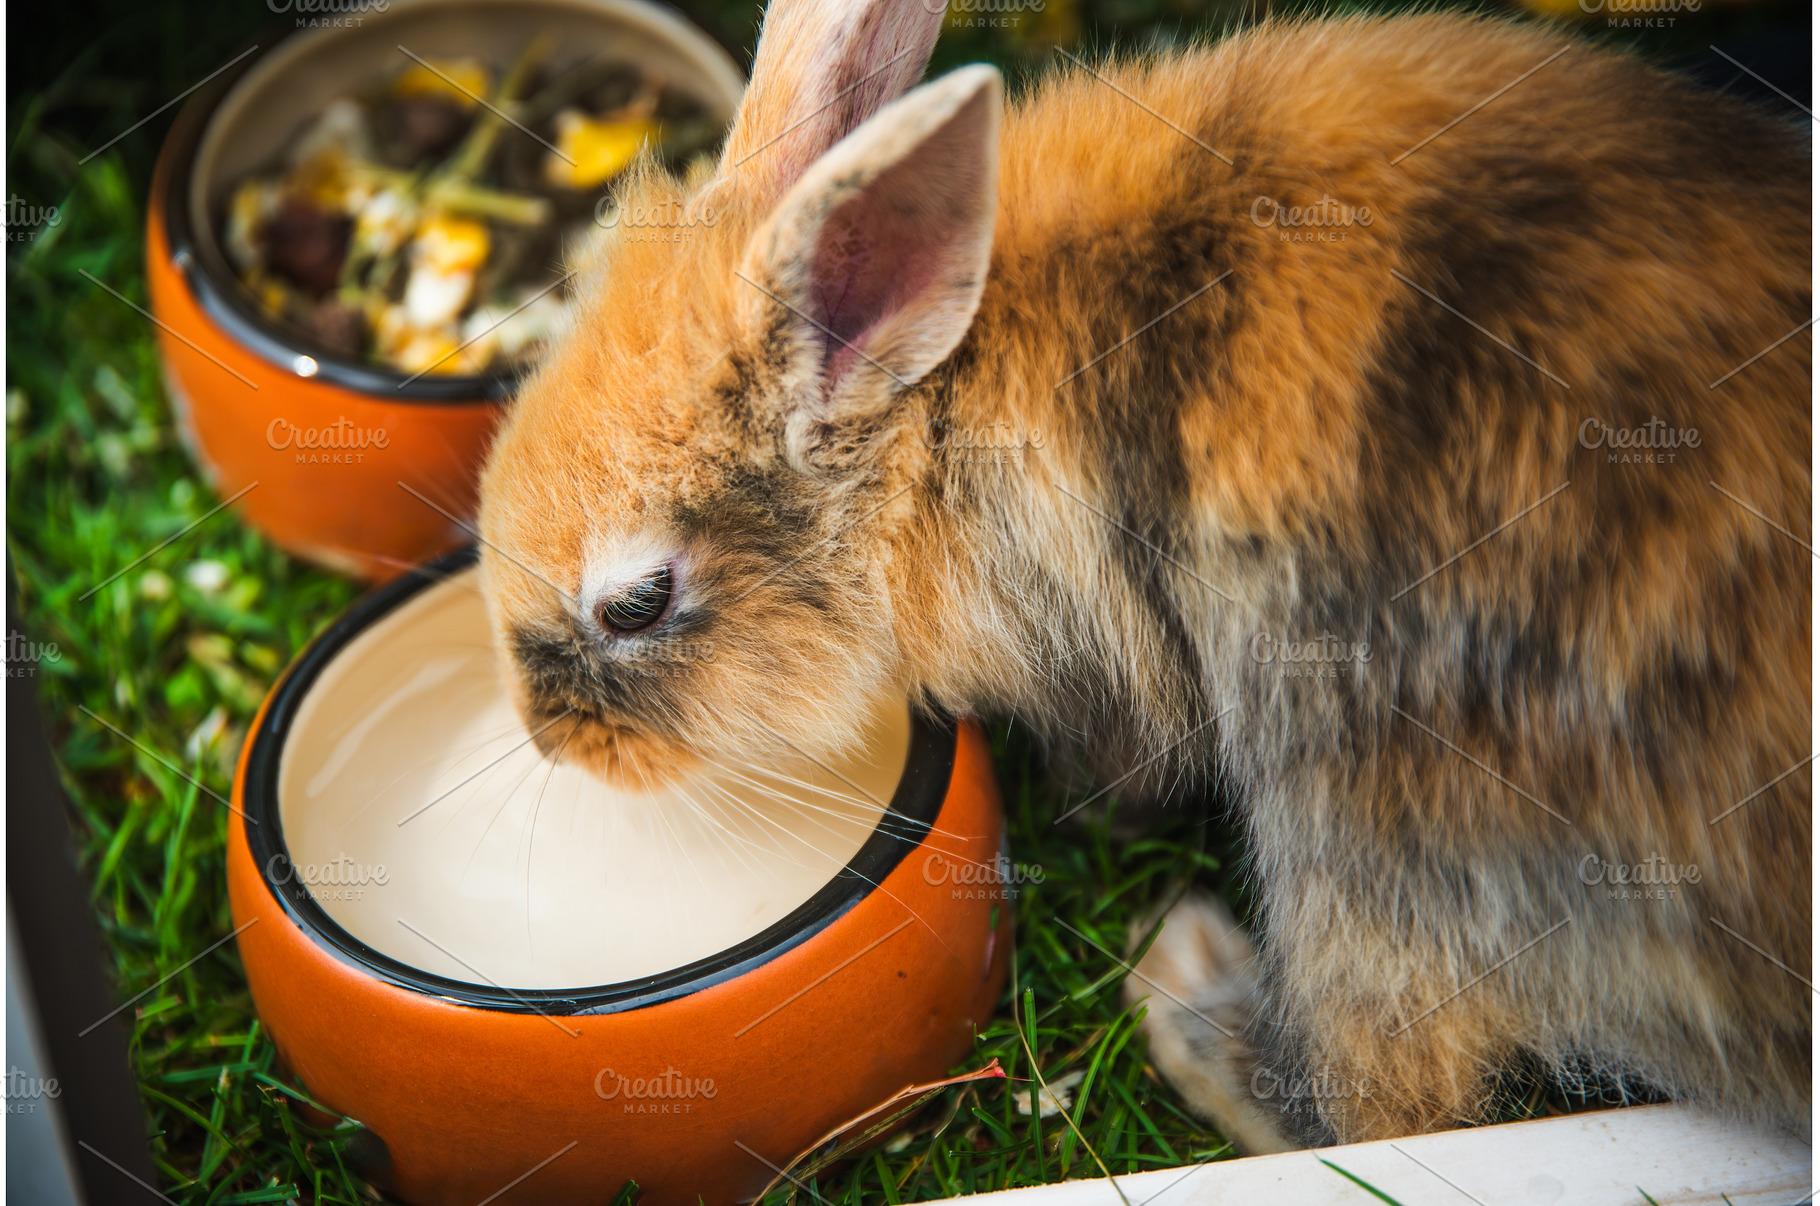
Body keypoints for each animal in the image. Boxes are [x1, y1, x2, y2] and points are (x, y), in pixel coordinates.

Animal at [477, 0, 1811, 1151]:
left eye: (637, 603)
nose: (547, 738)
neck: (930, 422)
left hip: (1365, 816)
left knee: (1385, 1097)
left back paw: (1182, 985)